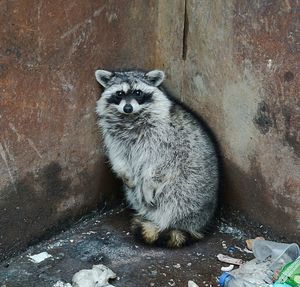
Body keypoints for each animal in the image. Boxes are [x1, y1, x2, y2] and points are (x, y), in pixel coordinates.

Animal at [95, 69, 219, 248]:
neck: (131, 118)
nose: (127, 108)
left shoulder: (166, 137)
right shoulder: (115, 137)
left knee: (176, 198)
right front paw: (126, 175)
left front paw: (148, 182)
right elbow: (118, 157)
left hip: (189, 191)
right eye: (119, 94)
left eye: (137, 93)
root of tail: (201, 223)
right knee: (134, 193)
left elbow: (159, 164)